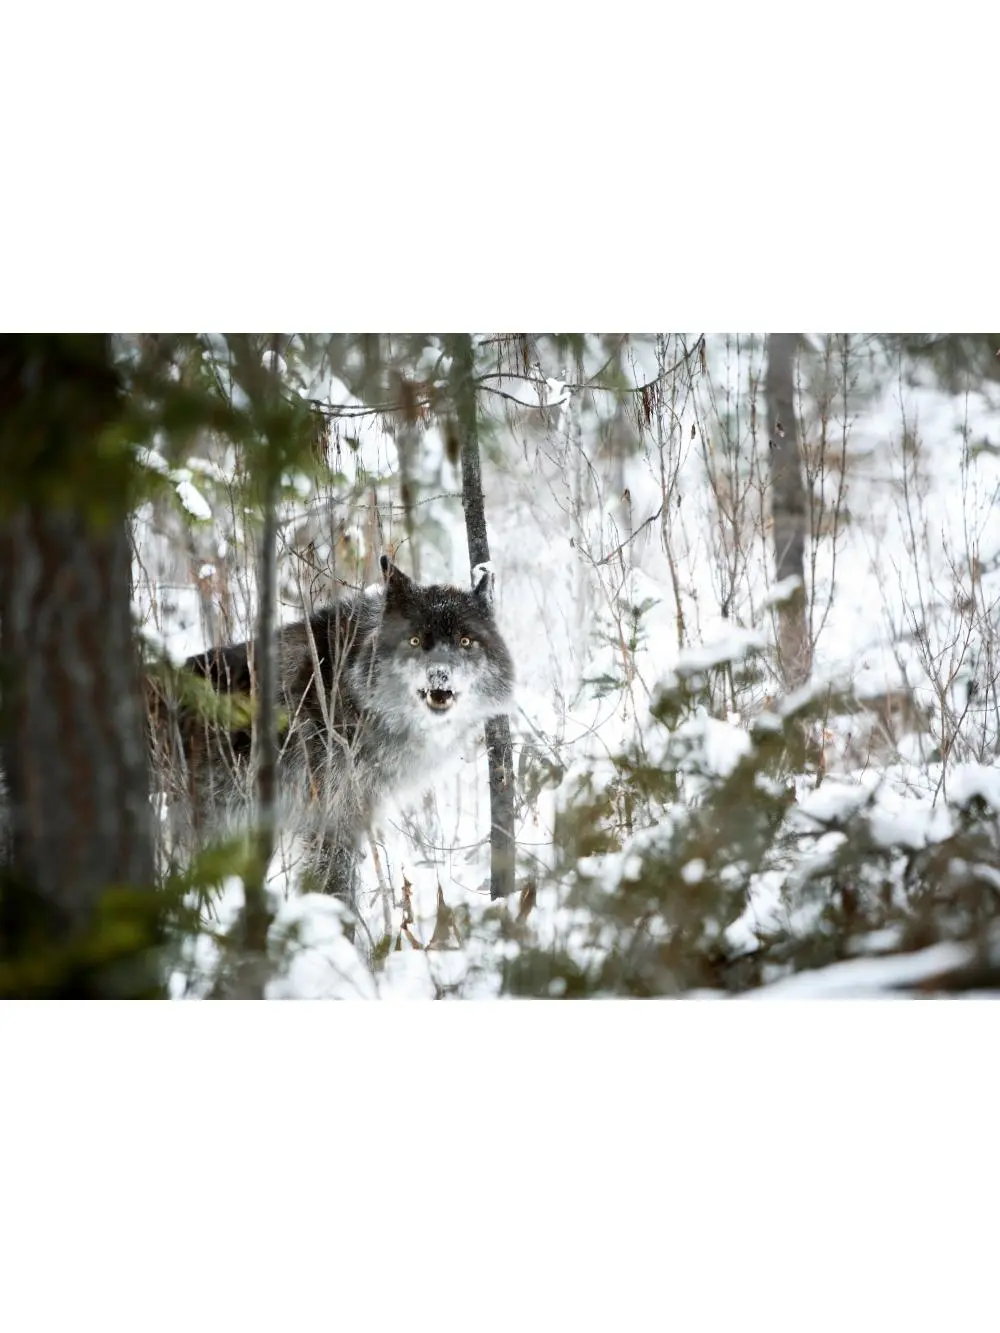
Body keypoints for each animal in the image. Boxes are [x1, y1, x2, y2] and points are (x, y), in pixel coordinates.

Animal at [147, 556, 515, 913]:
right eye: (415, 641)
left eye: (465, 641)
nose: (440, 675)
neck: (350, 690)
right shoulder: (329, 819)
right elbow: (337, 889)